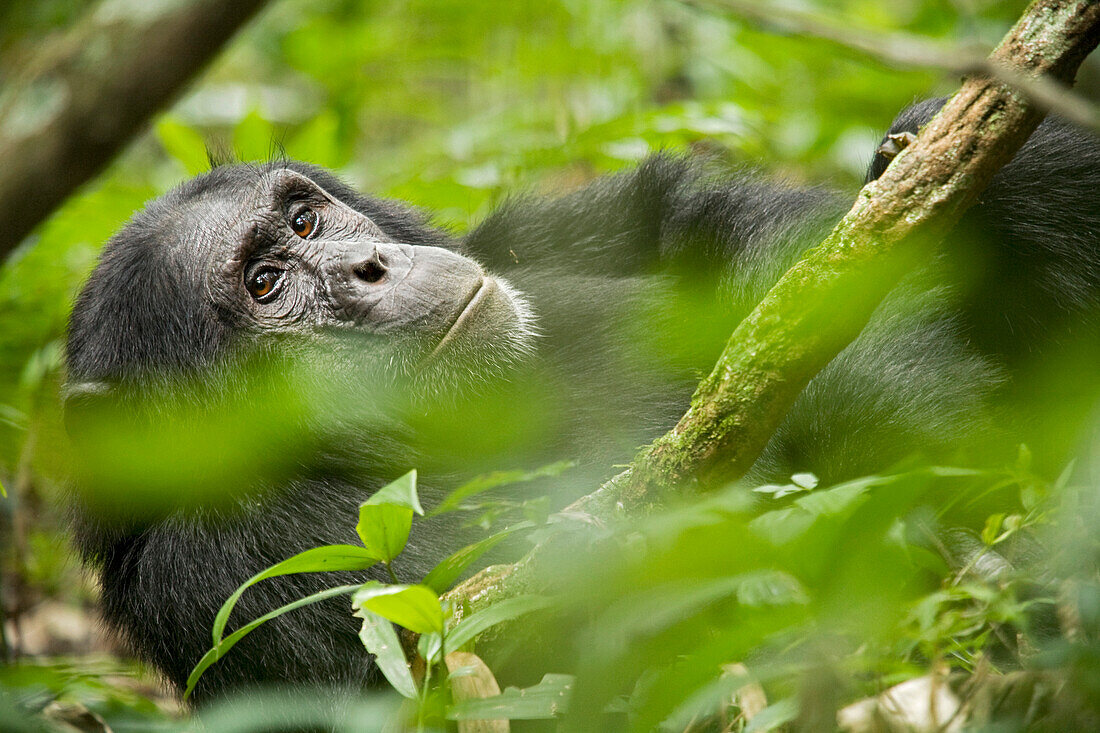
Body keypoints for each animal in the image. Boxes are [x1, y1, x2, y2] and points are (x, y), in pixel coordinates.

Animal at [62, 100, 1100, 699]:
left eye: (307, 218)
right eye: (267, 283)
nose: (370, 264)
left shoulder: (527, 235)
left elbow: (700, 220)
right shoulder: (239, 571)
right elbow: (617, 611)